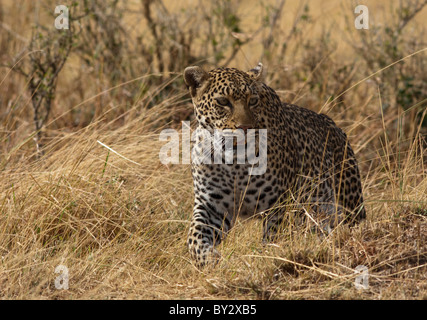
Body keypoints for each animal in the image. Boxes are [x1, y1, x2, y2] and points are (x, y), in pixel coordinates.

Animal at [184, 63, 368, 268]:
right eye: (223, 101)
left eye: (253, 101)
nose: (245, 128)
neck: (233, 159)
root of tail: (334, 125)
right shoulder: (212, 205)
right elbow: (195, 236)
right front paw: (208, 260)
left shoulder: (281, 204)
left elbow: (273, 238)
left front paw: (267, 259)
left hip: (347, 199)